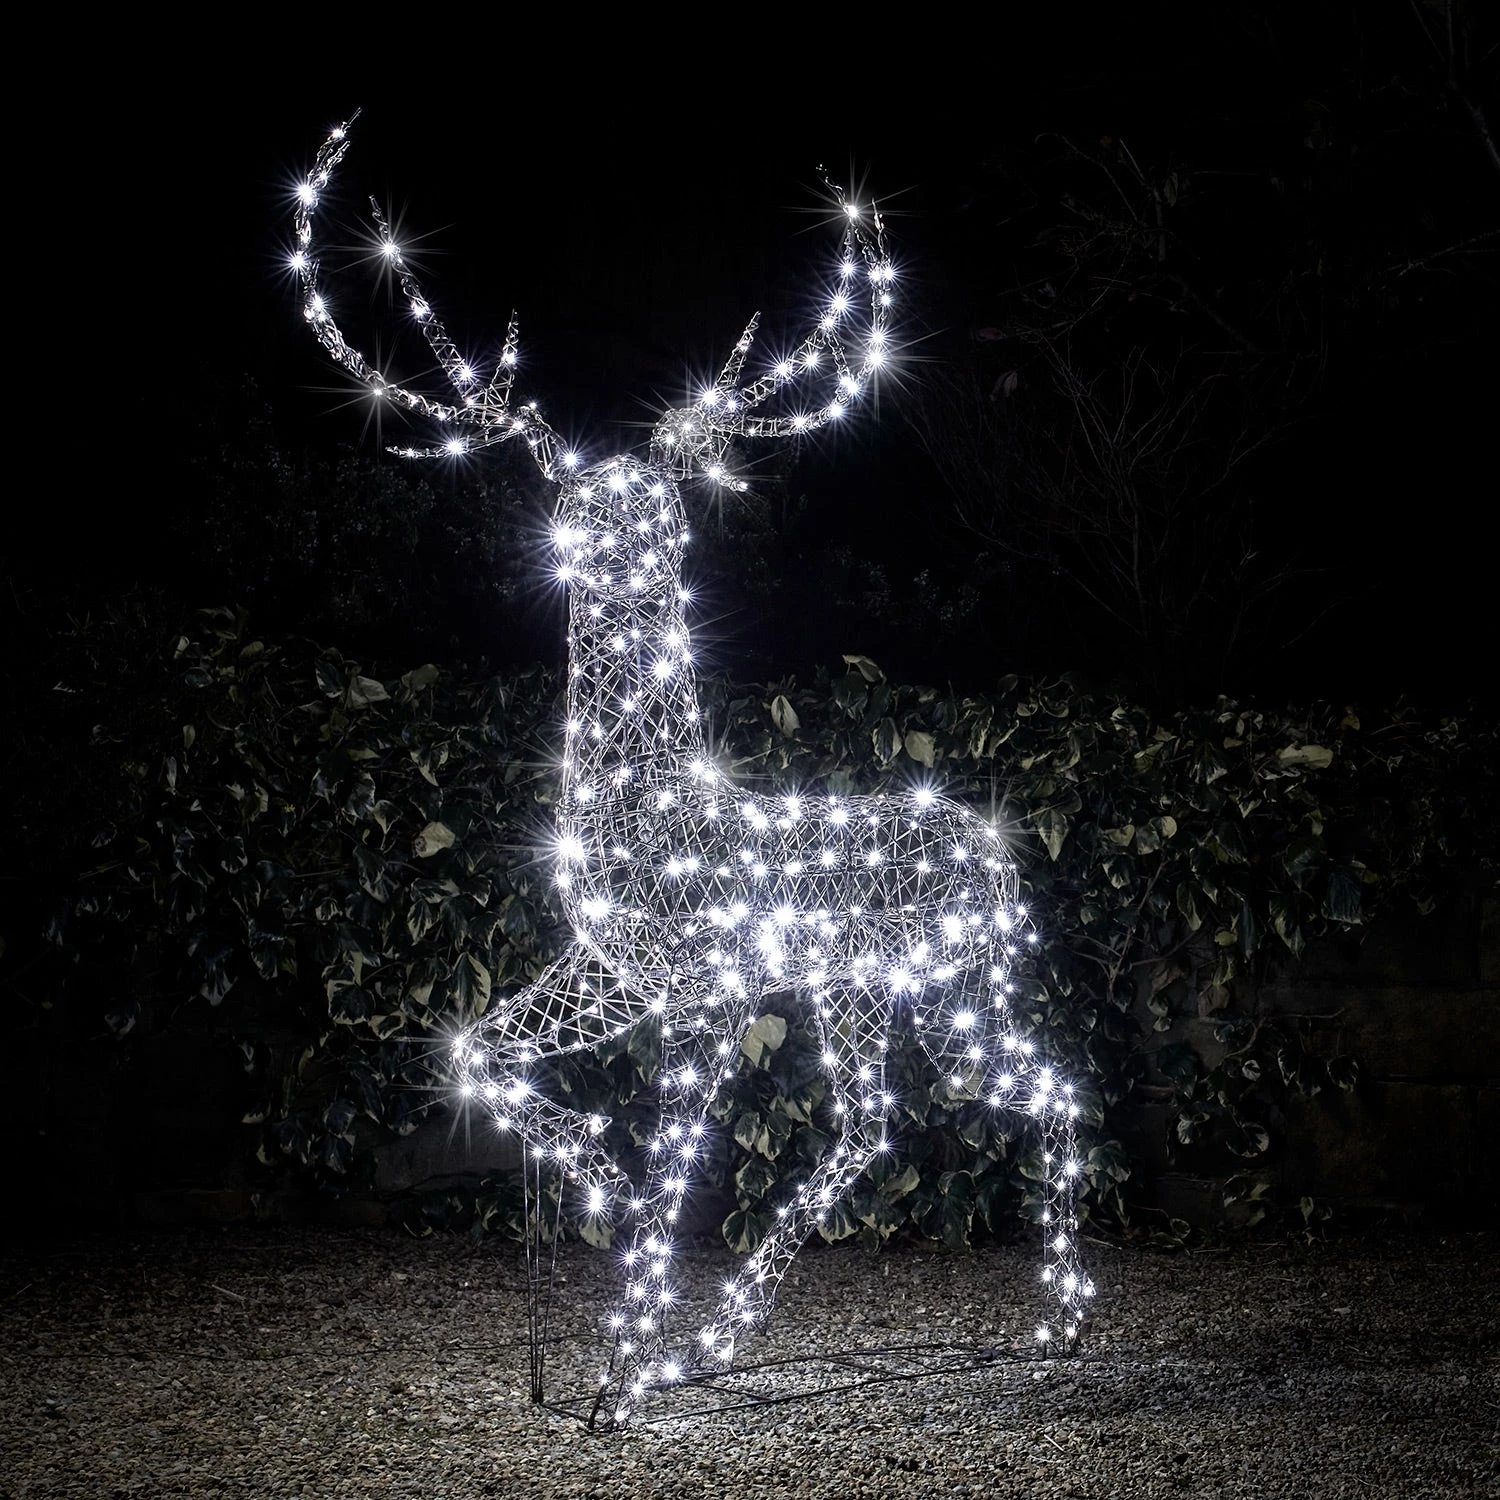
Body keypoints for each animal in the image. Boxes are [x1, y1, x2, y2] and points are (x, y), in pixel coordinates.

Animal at [290, 113, 1096, 1430]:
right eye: (582, 506)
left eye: (652, 515)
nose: (600, 552)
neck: (642, 801)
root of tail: (993, 849)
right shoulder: (605, 974)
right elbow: (470, 1052)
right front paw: (600, 1213)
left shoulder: (703, 992)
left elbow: (680, 1176)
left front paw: (618, 1376)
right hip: (879, 988)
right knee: (893, 1121)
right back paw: (736, 1337)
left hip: (948, 979)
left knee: (1033, 1094)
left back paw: (1057, 1327)